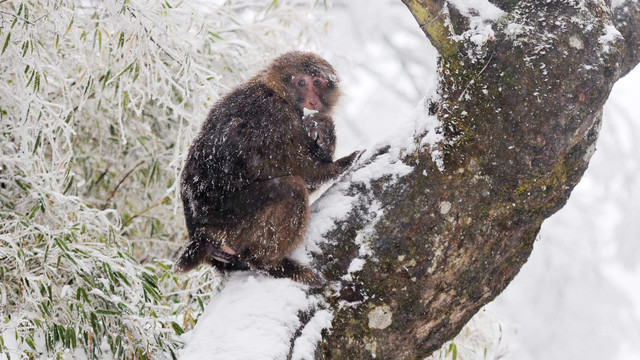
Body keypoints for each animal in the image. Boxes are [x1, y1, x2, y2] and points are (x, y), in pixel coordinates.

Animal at [174, 51, 360, 286]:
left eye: (318, 83)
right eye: (302, 82)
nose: (313, 100)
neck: (277, 93)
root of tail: (199, 236)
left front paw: (324, 131)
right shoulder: (275, 117)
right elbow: (304, 173)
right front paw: (341, 165)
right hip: (229, 222)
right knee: (290, 188)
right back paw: (268, 264)